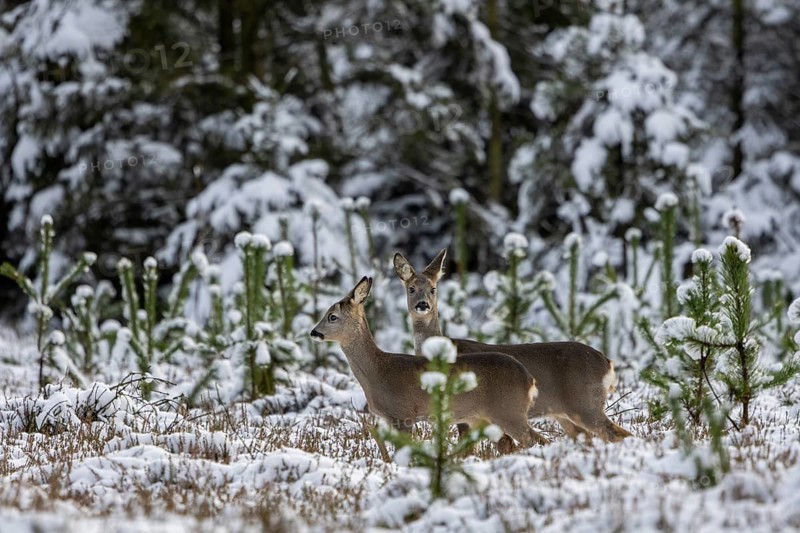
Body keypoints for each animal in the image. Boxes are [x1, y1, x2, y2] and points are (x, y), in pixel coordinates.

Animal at [310, 276, 549, 451]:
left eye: (332, 316)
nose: (314, 332)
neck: (378, 370)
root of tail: (530, 380)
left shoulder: (403, 414)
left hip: (508, 410)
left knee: (536, 439)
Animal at [393, 249, 632, 442]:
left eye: (433, 289)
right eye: (411, 288)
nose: (422, 305)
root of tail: (607, 363)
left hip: (585, 402)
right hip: (564, 413)